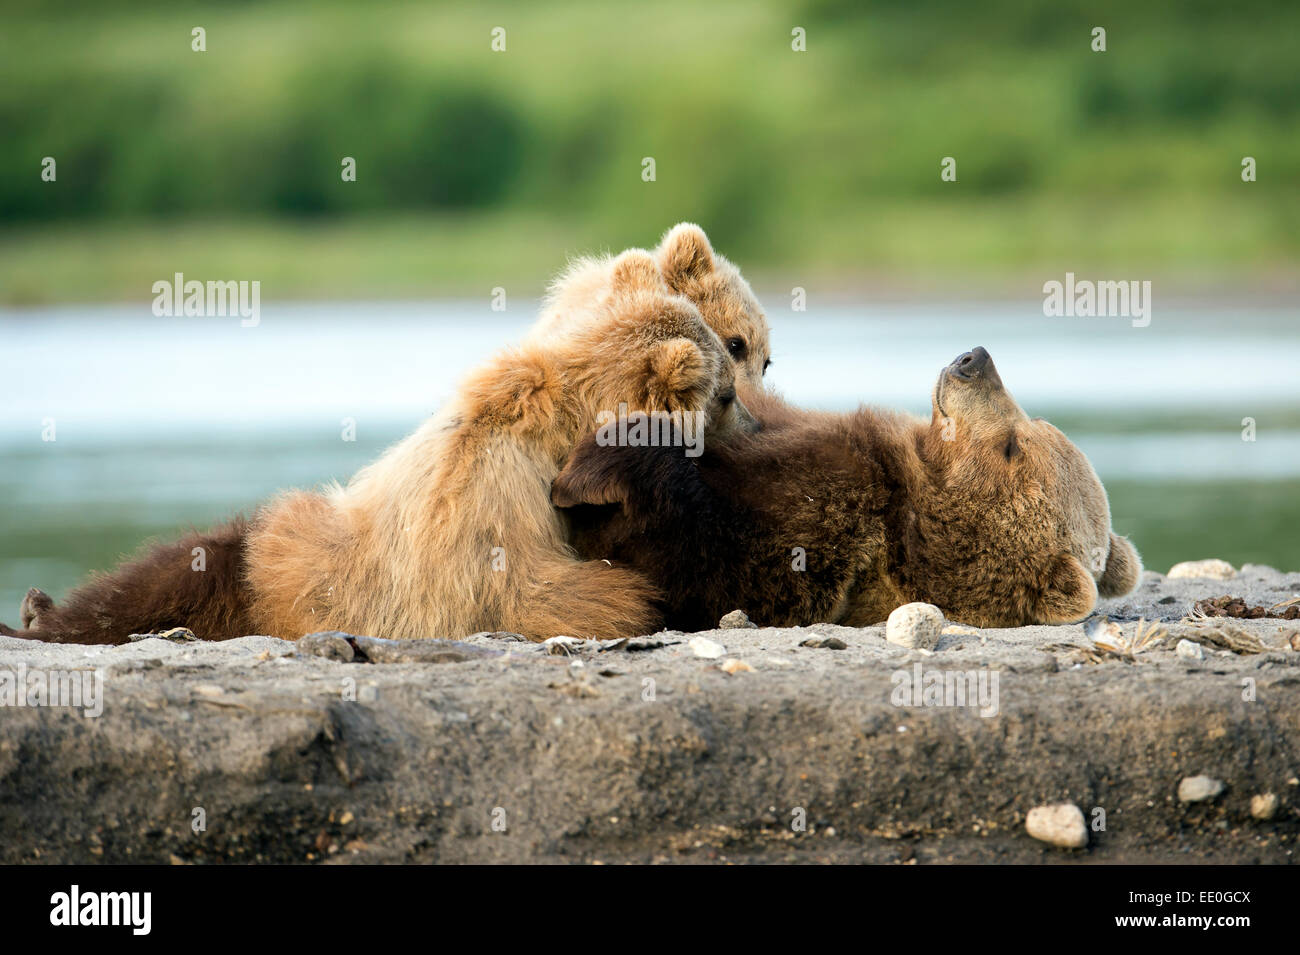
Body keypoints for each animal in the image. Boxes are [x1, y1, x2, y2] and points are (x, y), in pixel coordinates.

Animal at [4, 250, 756, 645]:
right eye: (724, 391)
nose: (751, 420)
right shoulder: (497, 517)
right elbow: (564, 593)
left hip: (279, 560)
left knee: (194, 561)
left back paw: (43, 610)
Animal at [551, 346, 1142, 631]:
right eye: (1034, 425)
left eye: (1013, 447)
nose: (974, 358)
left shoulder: (828, 524)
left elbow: (705, 555)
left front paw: (603, 459)